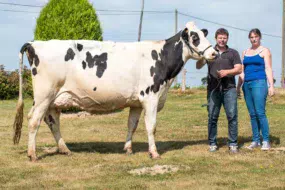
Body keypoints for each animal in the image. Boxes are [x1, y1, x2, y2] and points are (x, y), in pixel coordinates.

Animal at [13, 21, 215, 161]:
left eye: (204, 35)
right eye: (195, 38)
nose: (213, 53)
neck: (162, 58)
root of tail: (34, 44)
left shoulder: (136, 102)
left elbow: (132, 125)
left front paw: (128, 149)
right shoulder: (151, 97)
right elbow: (151, 126)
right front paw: (154, 153)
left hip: (54, 99)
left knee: (52, 121)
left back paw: (65, 149)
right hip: (44, 95)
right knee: (34, 120)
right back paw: (32, 154)